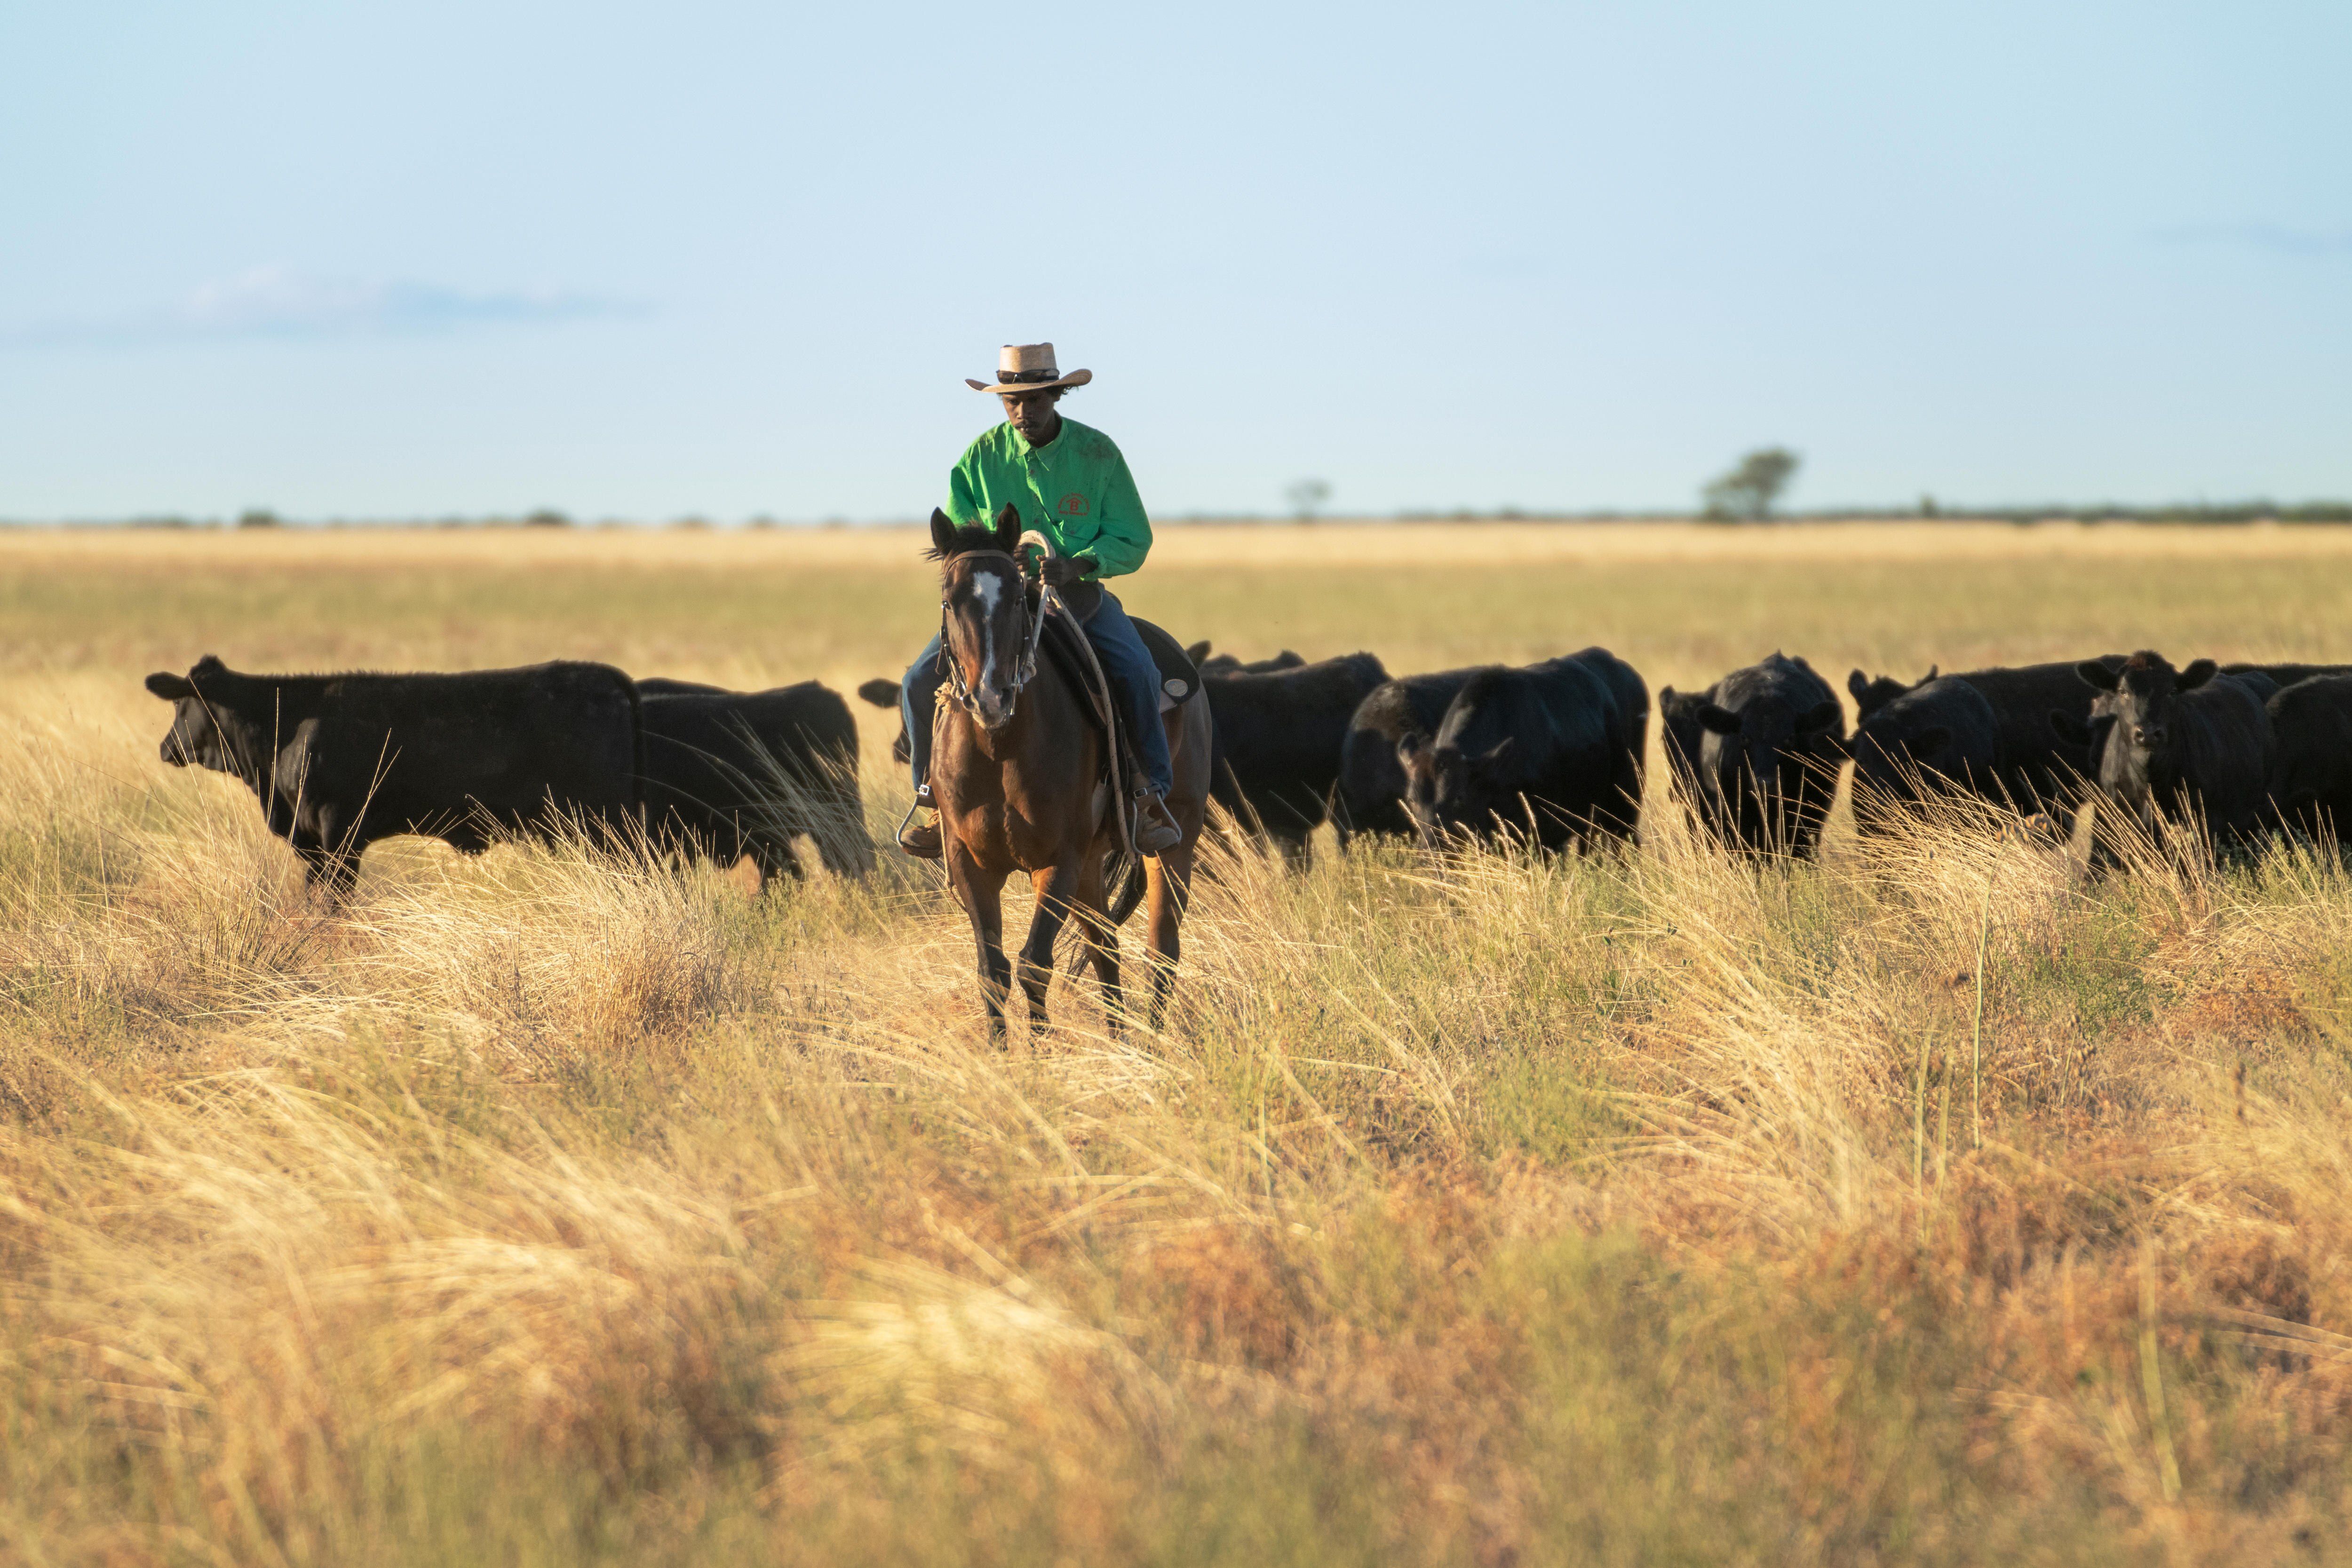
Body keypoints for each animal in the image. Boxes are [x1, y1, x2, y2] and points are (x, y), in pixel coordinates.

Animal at [144, 655, 641, 893]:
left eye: (182, 704)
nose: (165, 748)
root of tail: (610, 679)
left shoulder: (339, 831)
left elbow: (335, 900)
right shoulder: (312, 839)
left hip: (606, 823)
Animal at [923, 504, 1213, 1037]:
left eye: (1017, 599)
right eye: (949, 601)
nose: (991, 696)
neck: (1001, 747)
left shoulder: (1057, 861)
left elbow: (1034, 964)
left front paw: (1042, 1051)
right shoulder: (971, 862)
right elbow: (992, 971)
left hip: (1172, 845)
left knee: (1161, 949)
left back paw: (1151, 1041)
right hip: (1092, 865)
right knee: (1105, 946)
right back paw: (1120, 1038)